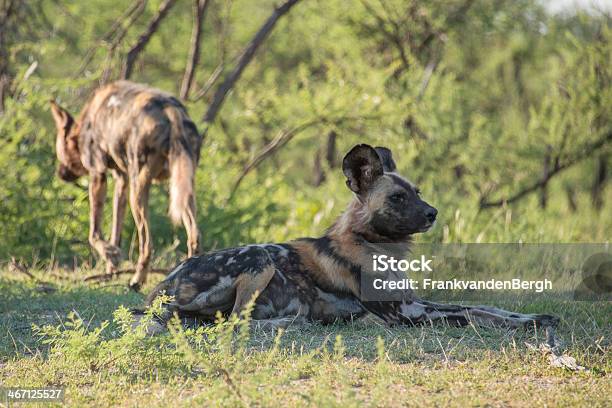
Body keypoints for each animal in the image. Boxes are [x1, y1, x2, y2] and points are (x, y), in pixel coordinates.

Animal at [51, 81, 202, 288]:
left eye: (59, 151)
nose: (60, 173)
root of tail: (171, 109)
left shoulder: (97, 174)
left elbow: (94, 232)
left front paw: (111, 255)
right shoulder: (121, 180)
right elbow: (116, 230)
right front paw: (111, 268)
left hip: (137, 193)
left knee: (146, 243)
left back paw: (137, 280)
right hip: (182, 190)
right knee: (194, 234)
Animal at [143, 143, 560, 332]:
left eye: (418, 191)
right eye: (397, 198)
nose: (432, 213)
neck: (376, 247)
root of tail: (160, 288)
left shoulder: (414, 302)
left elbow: (486, 307)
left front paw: (535, 318)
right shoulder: (406, 314)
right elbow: (470, 312)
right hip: (258, 258)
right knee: (233, 322)